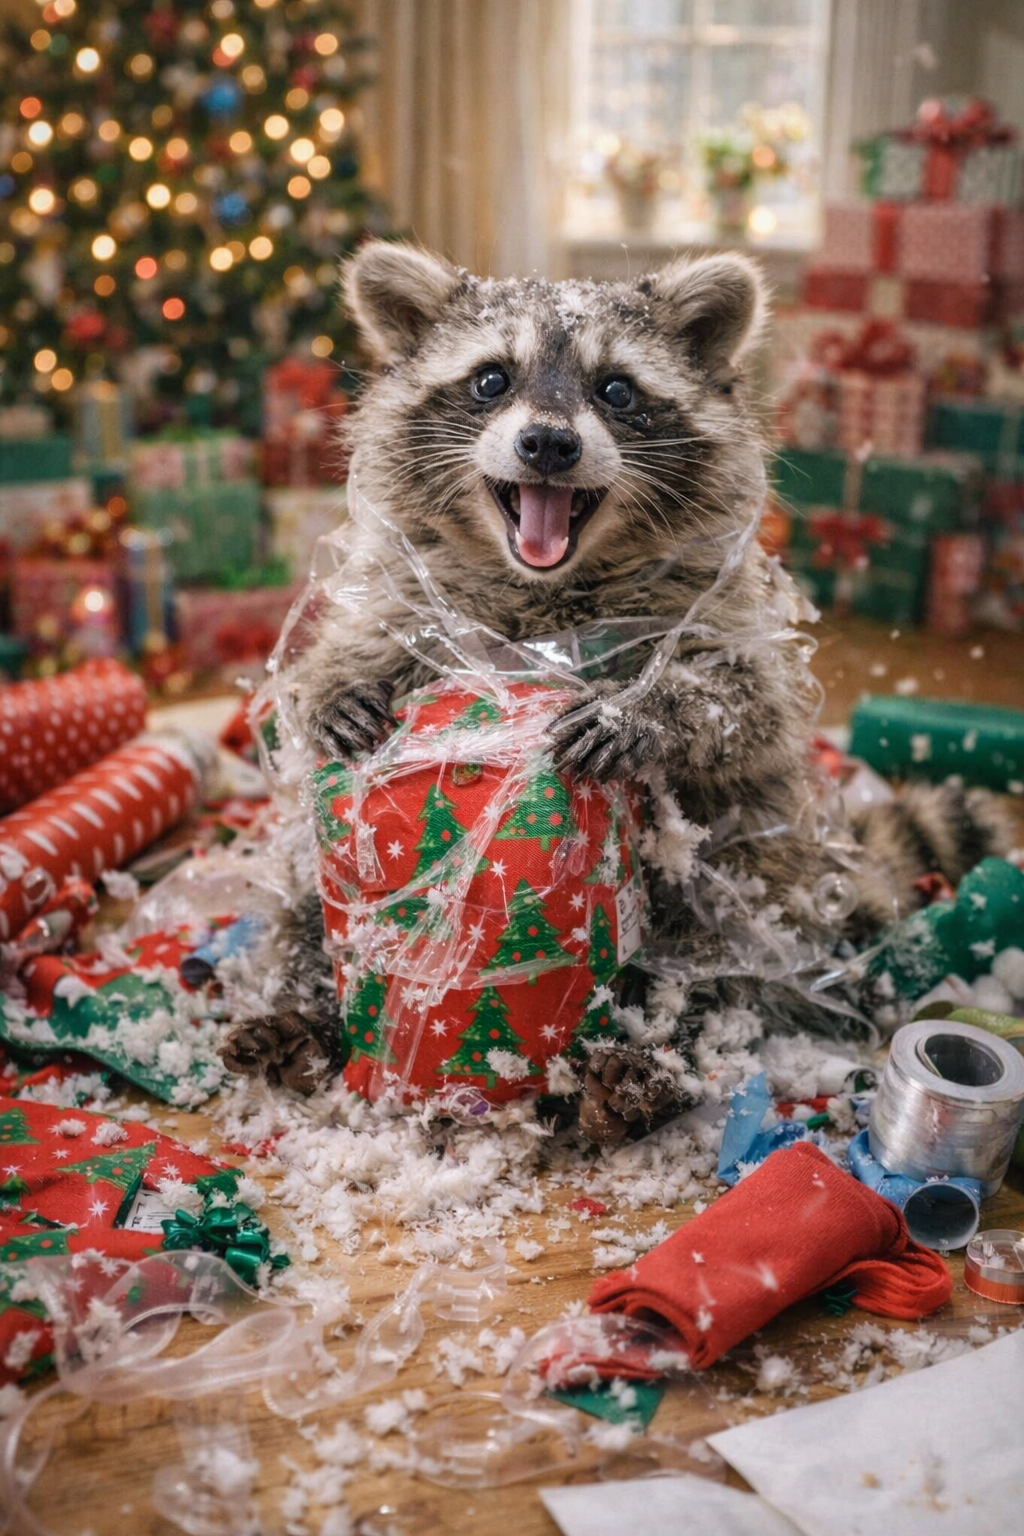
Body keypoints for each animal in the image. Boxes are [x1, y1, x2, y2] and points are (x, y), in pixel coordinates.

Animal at [222, 241, 1011, 1143]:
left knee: (722, 960)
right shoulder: (407, 586)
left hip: (763, 891)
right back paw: (300, 1011)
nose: (547, 444)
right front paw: (337, 686)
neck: (545, 588)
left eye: (617, 391)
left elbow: (745, 701)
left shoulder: (721, 603)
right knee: (297, 902)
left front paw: (651, 712)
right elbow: (347, 644)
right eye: (491, 379)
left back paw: (659, 1059)